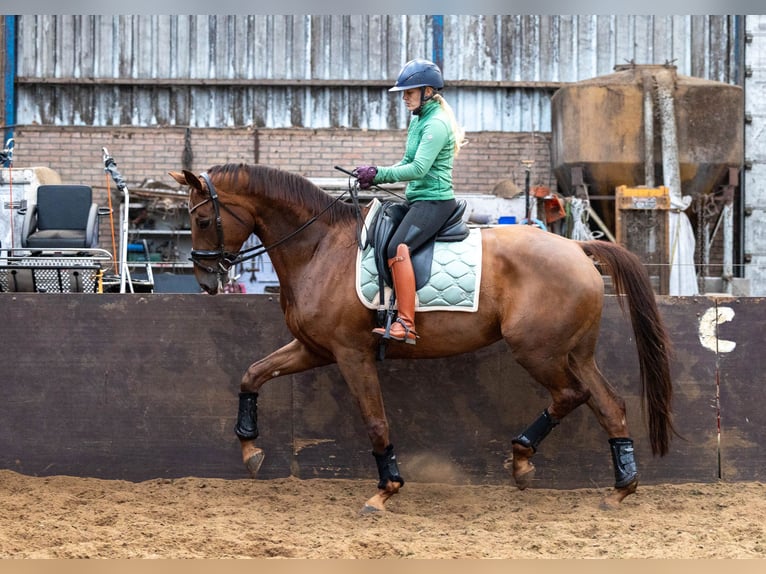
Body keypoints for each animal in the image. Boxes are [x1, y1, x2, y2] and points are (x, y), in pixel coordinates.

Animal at [170, 164, 680, 516]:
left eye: (202, 220)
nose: (205, 279)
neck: (319, 248)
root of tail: (577, 247)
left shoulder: (351, 354)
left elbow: (375, 421)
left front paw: (386, 490)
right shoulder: (314, 349)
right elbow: (252, 375)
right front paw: (251, 451)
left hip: (538, 351)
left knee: (571, 395)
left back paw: (523, 459)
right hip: (574, 353)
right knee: (608, 403)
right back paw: (619, 488)